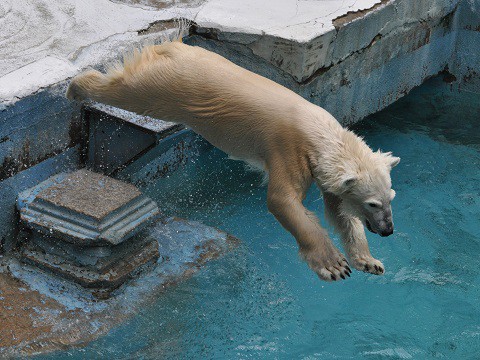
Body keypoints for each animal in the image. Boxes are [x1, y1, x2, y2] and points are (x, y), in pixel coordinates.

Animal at [65, 38, 400, 282]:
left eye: (390, 197)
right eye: (372, 203)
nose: (388, 230)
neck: (319, 133)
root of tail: (174, 47)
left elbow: (339, 212)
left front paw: (369, 261)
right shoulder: (287, 149)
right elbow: (283, 200)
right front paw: (333, 266)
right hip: (168, 87)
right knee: (130, 91)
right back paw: (76, 86)